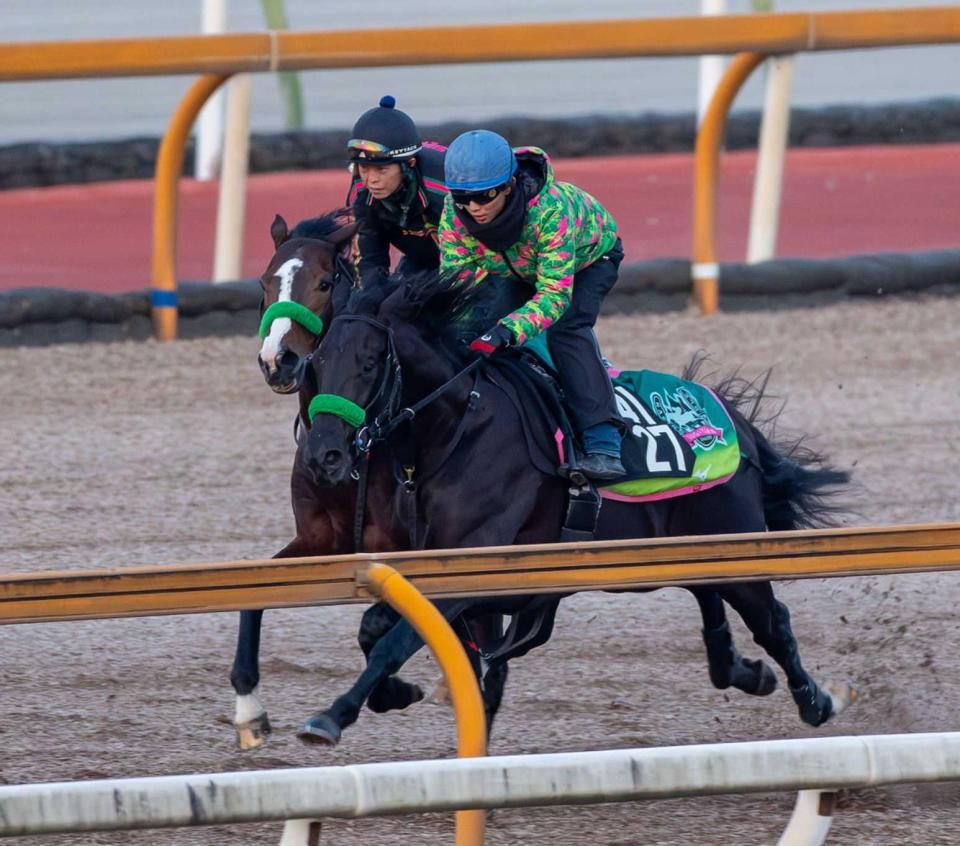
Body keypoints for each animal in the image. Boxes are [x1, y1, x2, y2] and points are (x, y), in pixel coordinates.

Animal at [293, 269, 856, 746]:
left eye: (369, 363)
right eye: (316, 365)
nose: (324, 455)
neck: (458, 429)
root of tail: (733, 422)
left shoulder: (477, 574)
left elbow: (398, 640)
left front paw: (332, 715)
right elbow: (381, 630)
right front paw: (396, 694)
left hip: (731, 540)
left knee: (772, 619)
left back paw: (815, 700)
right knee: (709, 597)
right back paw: (743, 670)